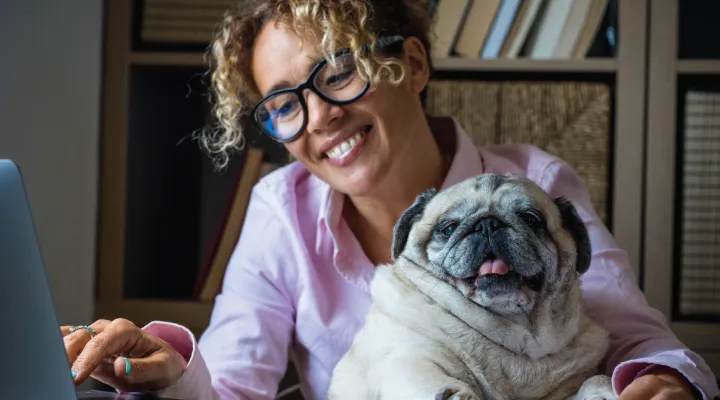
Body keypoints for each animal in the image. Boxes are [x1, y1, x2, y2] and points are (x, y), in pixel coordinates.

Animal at [330, 173, 616, 398]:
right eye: (447, 228)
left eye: (531, 219)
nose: (487, 223)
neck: (515, 335)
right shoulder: (407, 355)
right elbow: (419, 369)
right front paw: (451, 395)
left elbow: (595, 379)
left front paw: (601, 389)